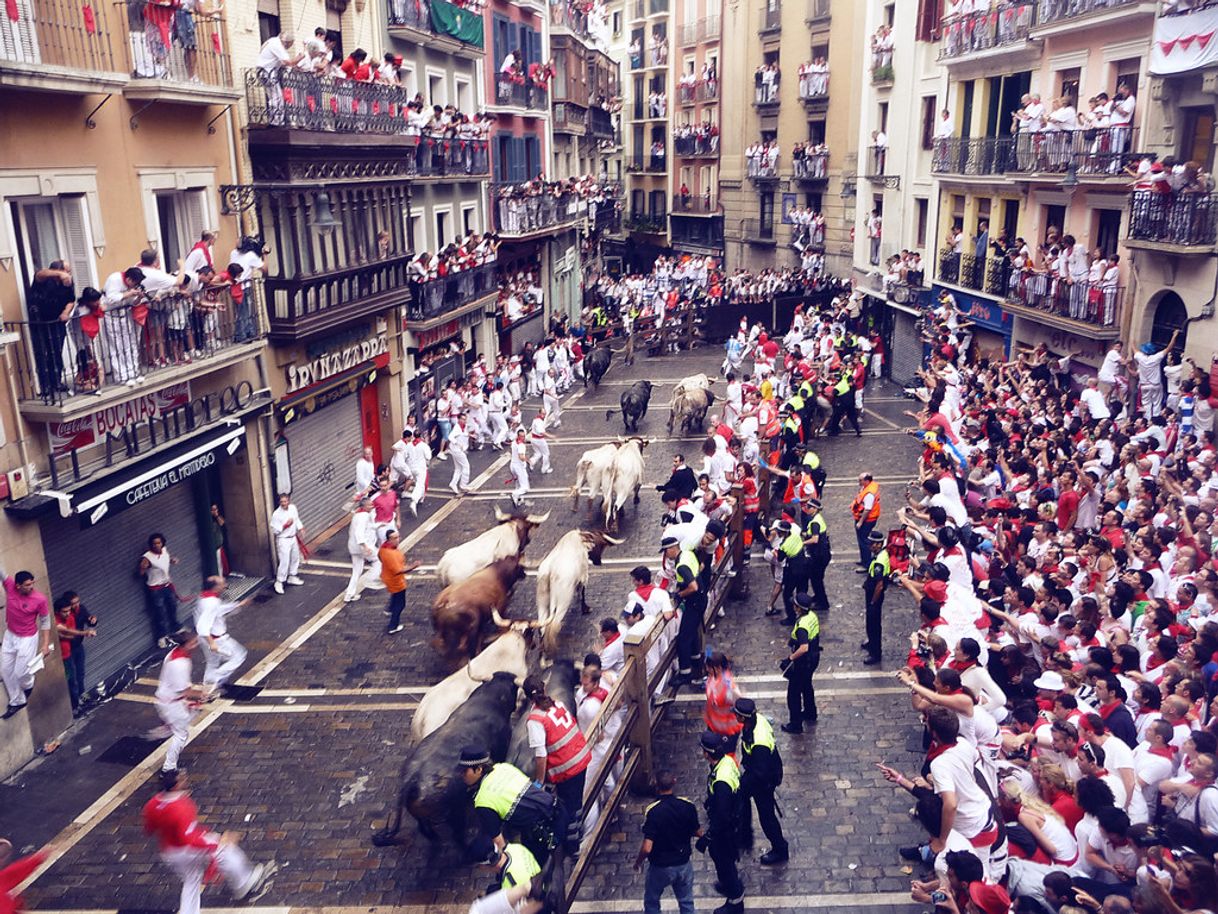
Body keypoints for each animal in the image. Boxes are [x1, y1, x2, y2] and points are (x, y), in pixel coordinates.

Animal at [535, 528, 623, 658]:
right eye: (601, 546)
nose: (599, 562)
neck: (581, 541)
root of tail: (550, 572)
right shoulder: (584, 575)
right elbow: (582, 591)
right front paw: (585, 608)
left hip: (542, 604)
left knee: (542, 627)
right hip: (563, 602)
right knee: (553, 625)